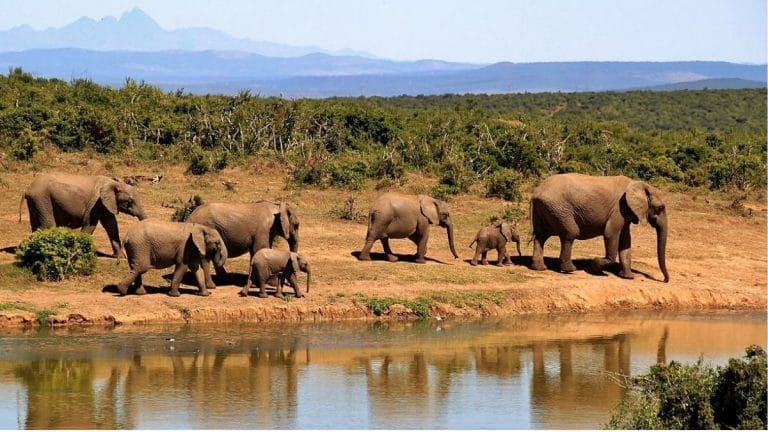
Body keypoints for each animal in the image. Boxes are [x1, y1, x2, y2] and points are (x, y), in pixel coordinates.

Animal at [530, 173, 669, 282]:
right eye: (660, 208)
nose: (665, 280)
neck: (639, 184)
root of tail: (536, 192)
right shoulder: (618, 209)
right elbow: (610, 234)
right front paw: (595, 266)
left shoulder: (626, 212)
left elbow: (625, 241)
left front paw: (628, 277)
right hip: (559, 209)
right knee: (570, 233)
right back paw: (570, 269)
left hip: (546, 209)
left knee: (541, 236)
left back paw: (540, 268)